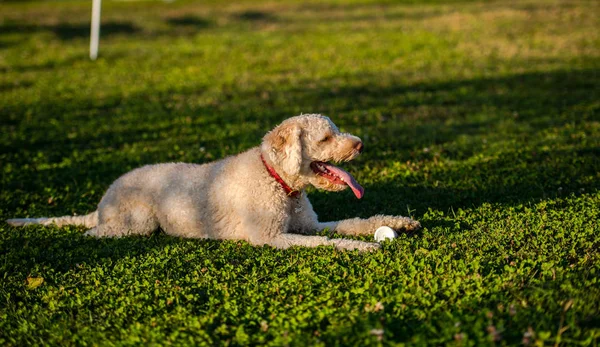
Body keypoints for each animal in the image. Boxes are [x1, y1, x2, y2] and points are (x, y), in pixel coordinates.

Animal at [9, 115, 422, 251]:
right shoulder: (271, 237)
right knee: (94, 232)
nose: (359, 144)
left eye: (337, 131)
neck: (275, 179)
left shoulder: (309, 224)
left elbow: (353, 223)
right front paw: (363, 248)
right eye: (325, 138)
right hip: (137, 222)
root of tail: (102, 201)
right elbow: (330, 243)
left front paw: (397, 223)